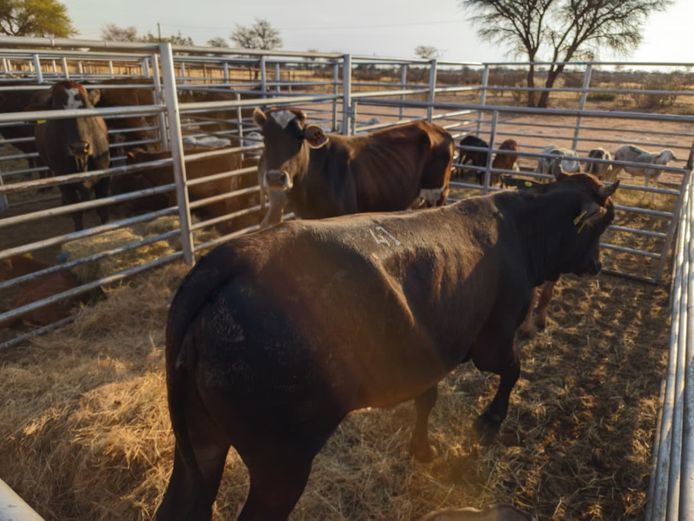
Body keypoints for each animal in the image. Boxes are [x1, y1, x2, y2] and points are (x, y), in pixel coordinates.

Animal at [35, 81, 111, 231]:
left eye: (87, 107)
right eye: (57, 113)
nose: (80, 147)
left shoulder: (103, 174)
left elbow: (103, 208)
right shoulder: (64, 181)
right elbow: (76, 211)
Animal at [156, 172, 618, 521]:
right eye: (599, 227)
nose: (597, 265)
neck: (522, 230)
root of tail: (234, 257)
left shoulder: (427, 352)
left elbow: (427, 399)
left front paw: (422, 448)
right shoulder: (494, 337)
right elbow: (513, 370)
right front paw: (489, 421)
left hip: (200, 439)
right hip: (282, 461)